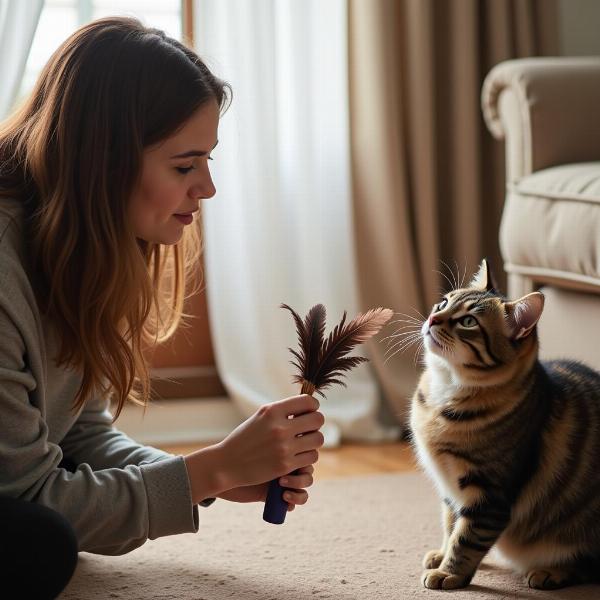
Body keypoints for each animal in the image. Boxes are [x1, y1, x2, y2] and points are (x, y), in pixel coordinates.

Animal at [410, 258, 600, 592]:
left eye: (468, 322)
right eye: (443, 302)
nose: (432, 317)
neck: (443, 390)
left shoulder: (489, 496)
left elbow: (466, 540)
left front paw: (449, 574)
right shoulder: (450, 491)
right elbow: (450, 525)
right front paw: (441, 555)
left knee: (588, 565)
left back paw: (550, 572)